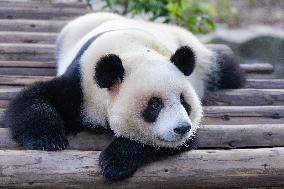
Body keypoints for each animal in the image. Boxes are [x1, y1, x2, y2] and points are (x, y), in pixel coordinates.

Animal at [2, 12, 244, 180]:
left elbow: (162, 142)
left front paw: (115, 161)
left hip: (203, 59)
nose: (182, 128)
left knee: (228, 70)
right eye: (154, 105)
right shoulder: (81, 82)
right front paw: (48, 138)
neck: (131, 50)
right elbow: (33, 98)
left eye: (185, 102)